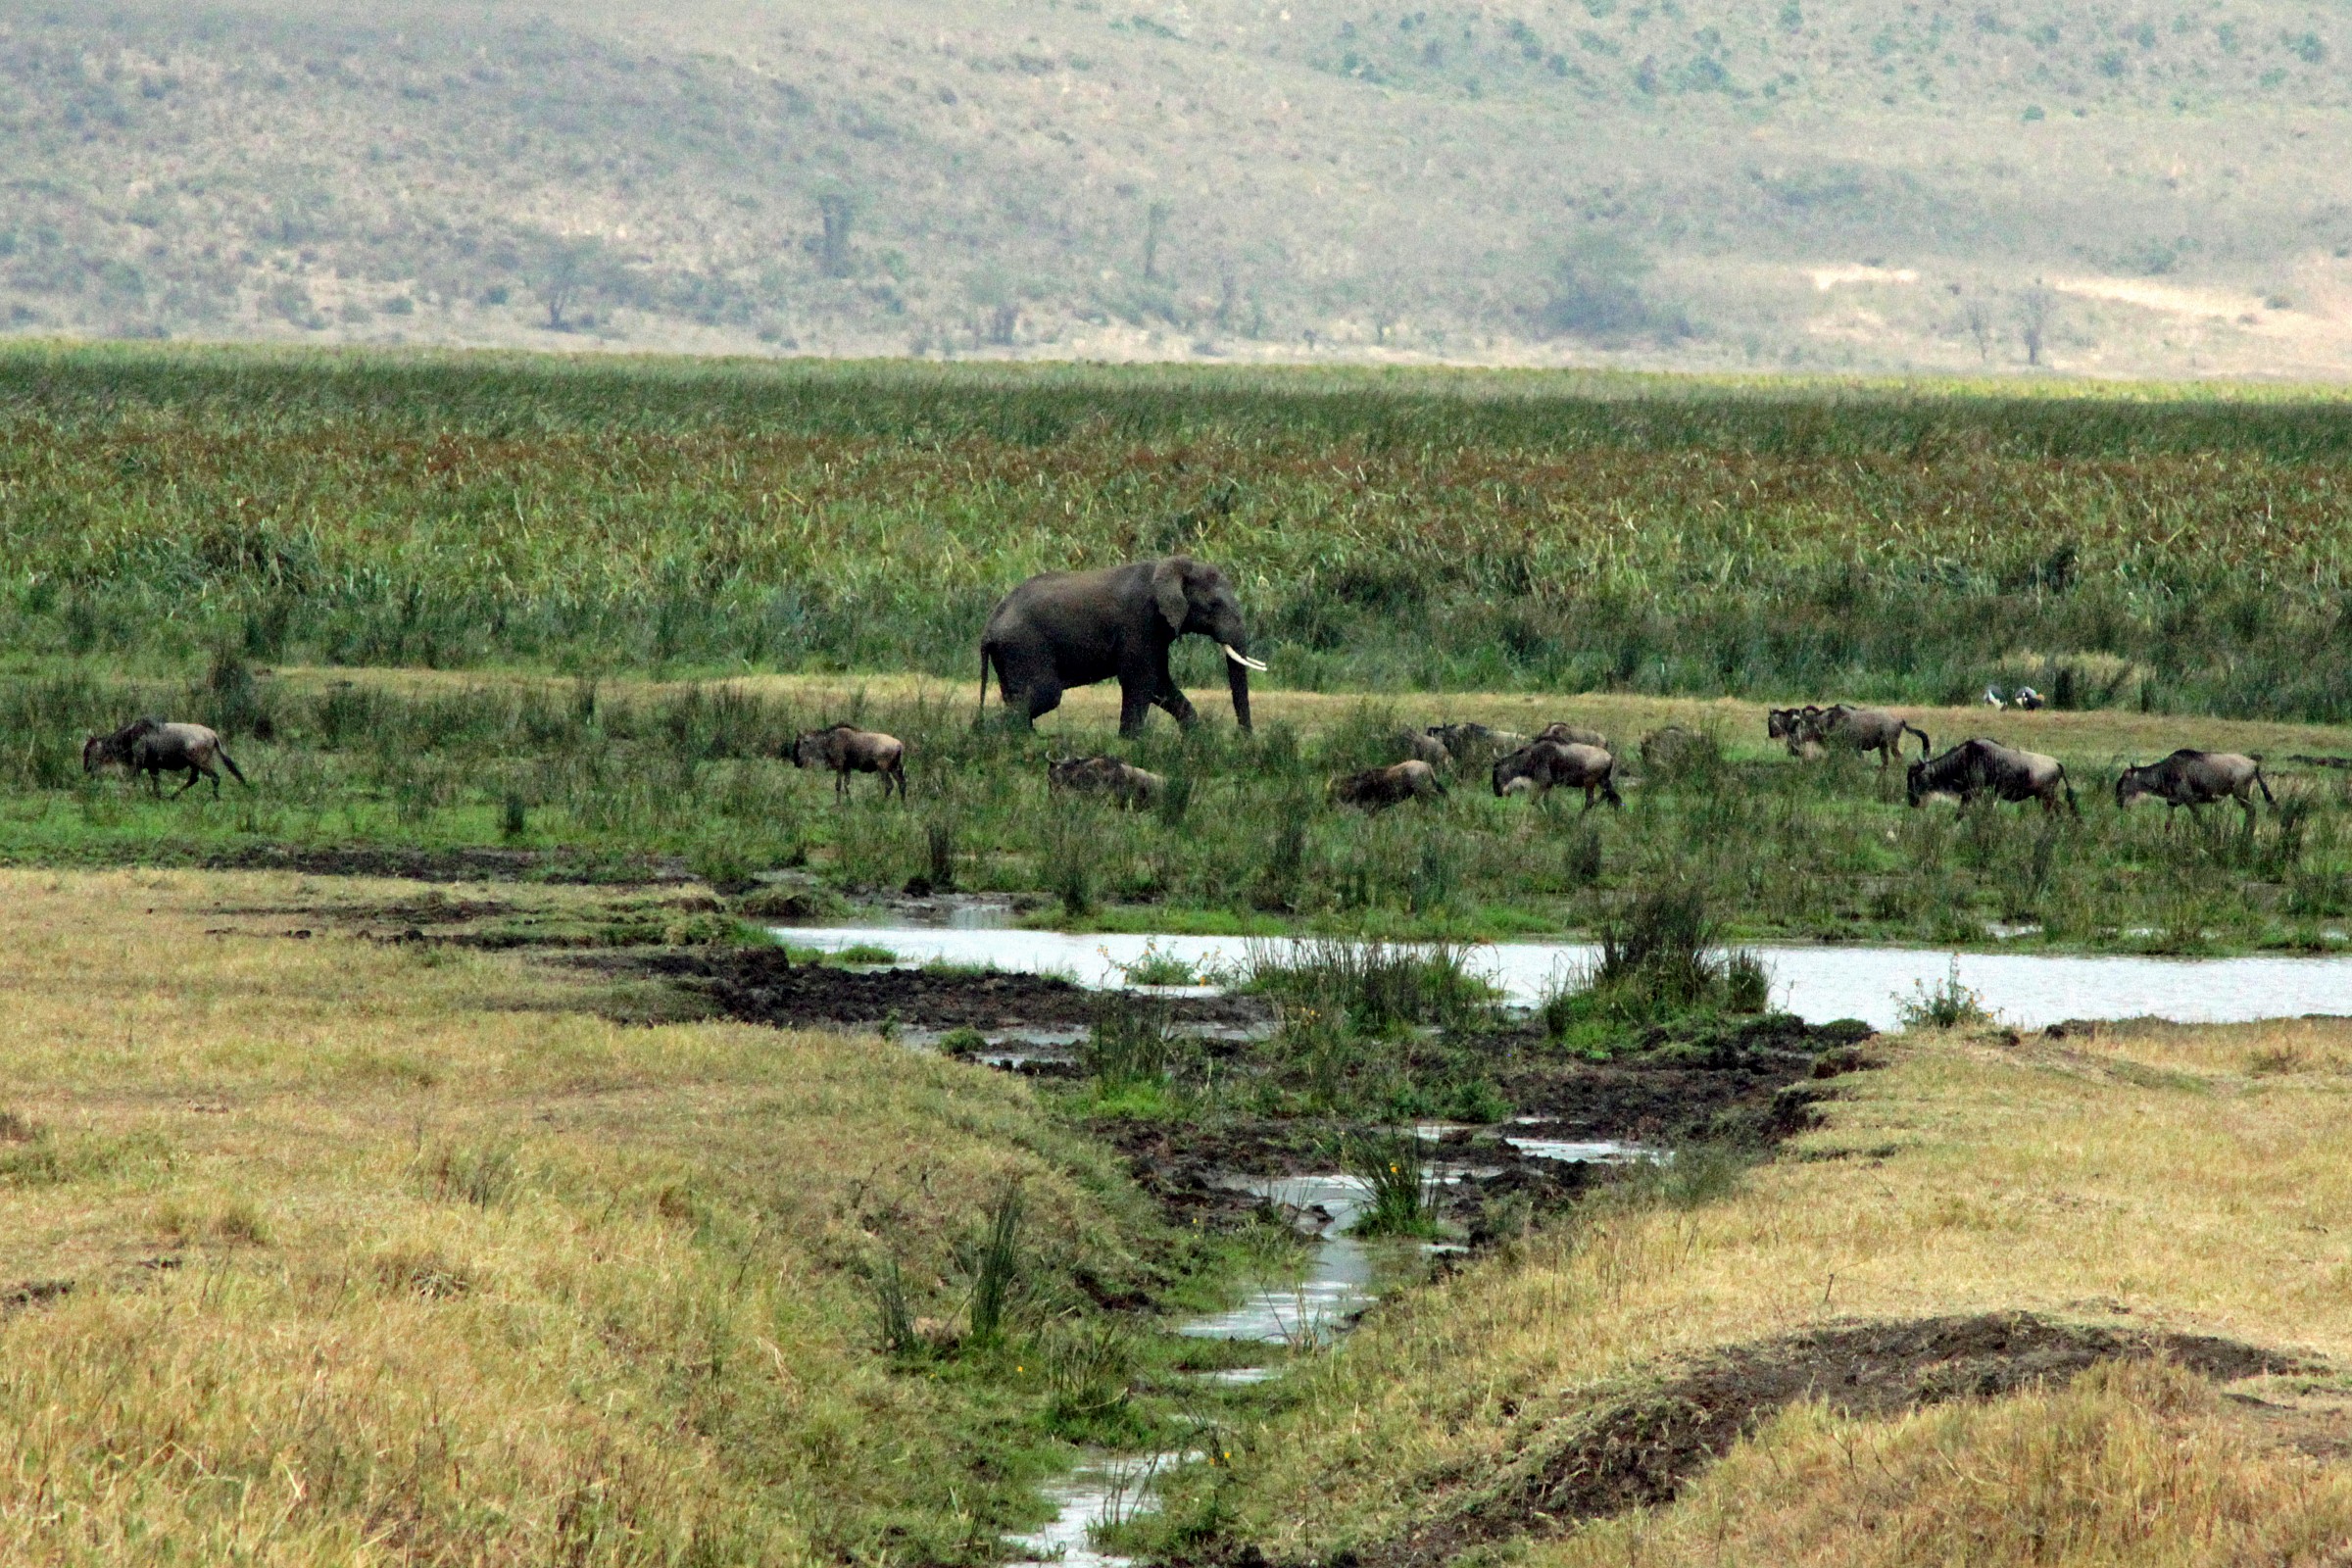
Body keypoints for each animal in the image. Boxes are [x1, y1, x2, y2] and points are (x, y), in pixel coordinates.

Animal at [978, 556, 1263, 736]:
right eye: (1213, 605)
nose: (1243, 739)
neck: (1170, 566)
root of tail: (989, 625)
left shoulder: (1156, 631)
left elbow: (1159, 683)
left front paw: (1193, 738)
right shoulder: (1140, 622)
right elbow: (1140, 681)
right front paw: (1130, 741)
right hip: (1025, 646)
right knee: (1044, 695)